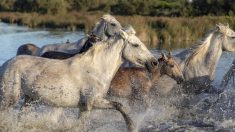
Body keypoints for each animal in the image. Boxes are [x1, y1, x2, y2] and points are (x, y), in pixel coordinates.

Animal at [0, 27, 158, 131]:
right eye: (136, 44)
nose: (154, 62)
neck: (96, 69)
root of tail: (6, 64)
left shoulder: (92, 103)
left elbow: (119, 106)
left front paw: (131, 126)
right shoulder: (89, 103)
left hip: (29, 99)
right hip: (11, 97)